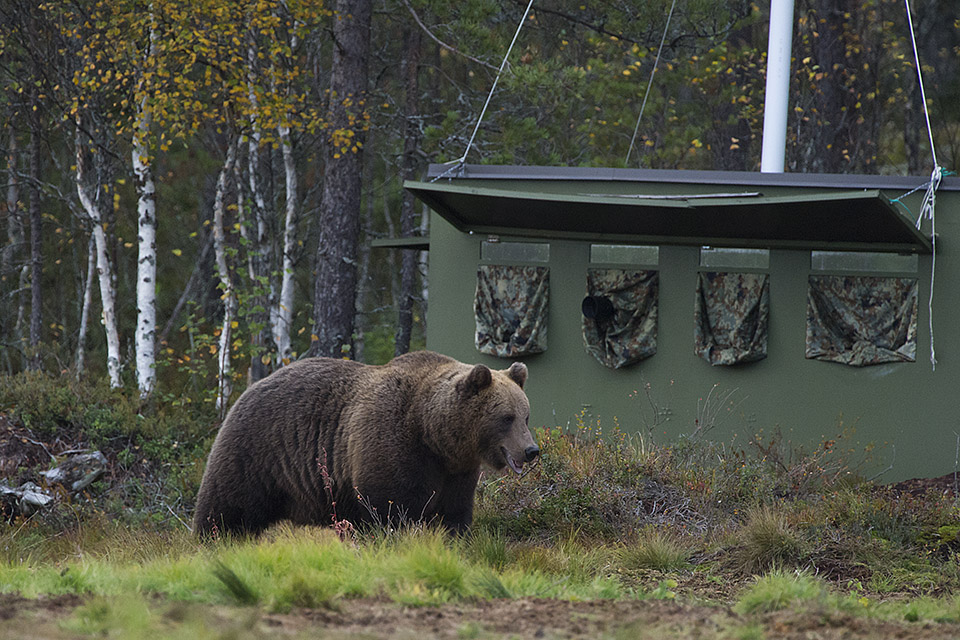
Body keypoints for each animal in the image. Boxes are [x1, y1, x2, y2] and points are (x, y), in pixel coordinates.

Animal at [191, 350, 536, 536]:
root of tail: (247, 389)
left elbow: (453, 516)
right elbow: (391, 509)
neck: (435, 437)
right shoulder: (394, 447)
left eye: (526, 415)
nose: (531, 450)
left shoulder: (457, 473)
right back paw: (215, 538)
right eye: (506, 417)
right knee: (228, 508)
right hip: (256, 453)